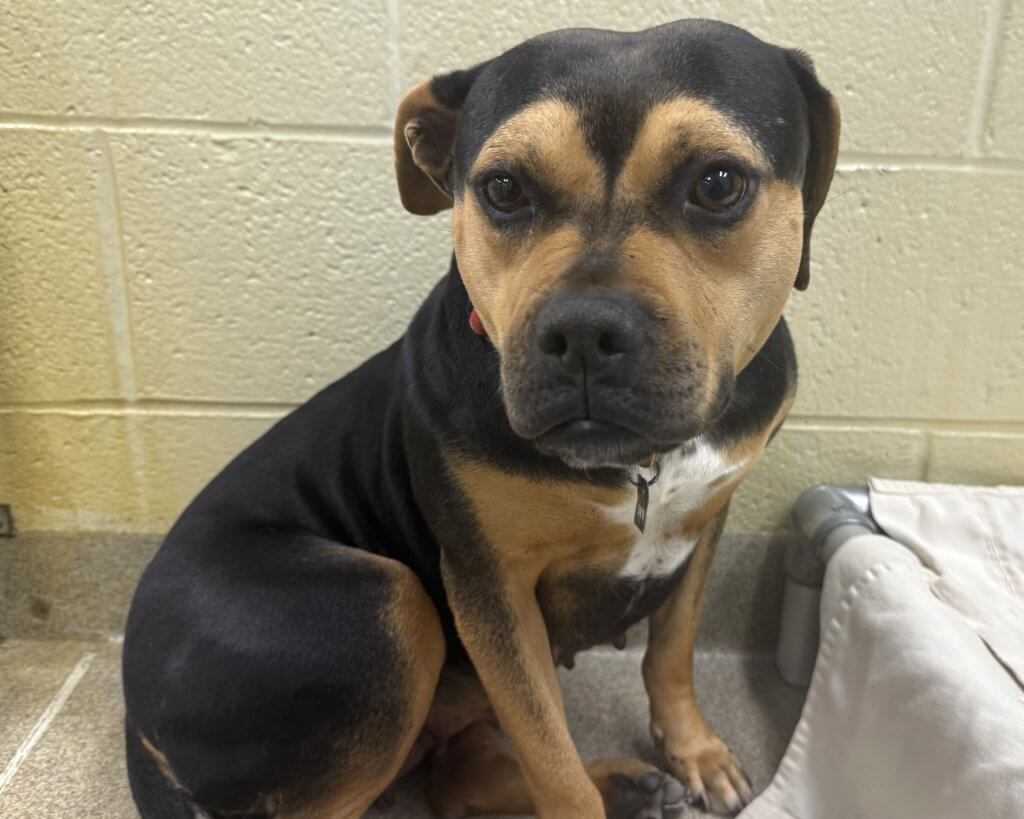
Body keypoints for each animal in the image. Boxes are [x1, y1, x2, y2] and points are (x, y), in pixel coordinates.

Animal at [122, 19, 839, 819]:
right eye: (503, 188)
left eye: (718, 183)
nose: (584, 332)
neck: (644, 466)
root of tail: (131, 711)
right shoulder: (491, 590)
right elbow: (548, 752)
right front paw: (597, 786)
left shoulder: (706, 518)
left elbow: (672, 650)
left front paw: (694, 752)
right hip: (383, 608)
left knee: (459, 776)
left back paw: (625, 782)